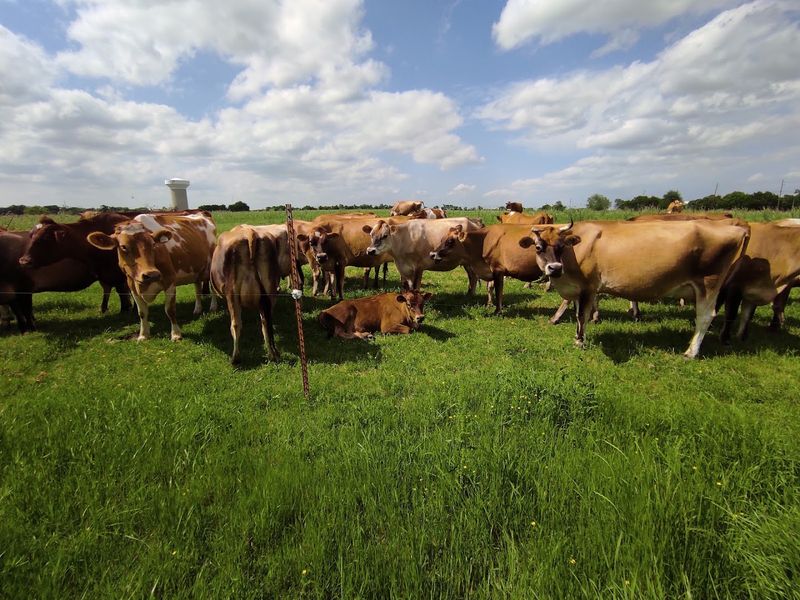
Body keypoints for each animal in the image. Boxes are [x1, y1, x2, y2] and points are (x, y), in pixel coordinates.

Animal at [86, 213, 217, 341]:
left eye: (153, 244)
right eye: (123, 247)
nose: (151, 275)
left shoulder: (170, 281)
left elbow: (170, 310)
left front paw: (176, 334)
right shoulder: (132, 285)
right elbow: (142, 312)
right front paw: (143, 335)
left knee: (212, 288)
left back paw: (213, 306)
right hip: (196, 270)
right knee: (197, 287)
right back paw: (197, 309)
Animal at [210, 226, 281, 364]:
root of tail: (250, 232)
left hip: (232, 292)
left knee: (236, 324)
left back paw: (235, 358)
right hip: (270, 289)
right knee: (265, 322)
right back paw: (271, 354)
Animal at [519, 219, 750, 358]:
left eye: (561, 246)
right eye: (538, 247)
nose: (555, 268)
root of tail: (735, 227)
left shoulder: (588, 287)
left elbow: (581, 316)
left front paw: (579, 341)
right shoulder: (578, 289)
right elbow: (577, 312)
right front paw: (578, 336)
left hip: (709, 284)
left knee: (705, 316)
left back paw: (691, 352)